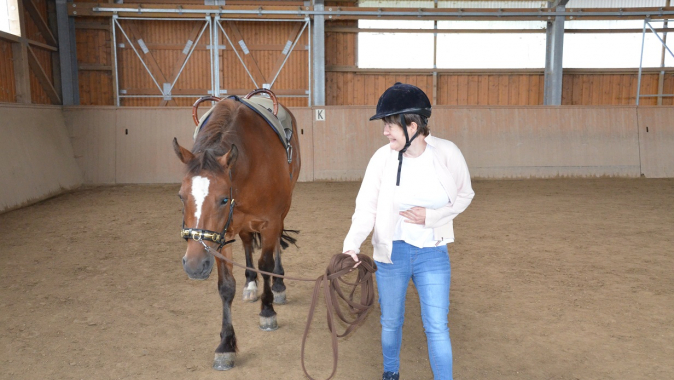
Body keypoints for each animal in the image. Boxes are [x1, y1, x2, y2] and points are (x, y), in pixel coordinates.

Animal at [172, 93, 300, 372]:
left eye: (222, 199)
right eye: (181, 196)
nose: (194, 265)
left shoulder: (270, 222)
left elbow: (266, 263)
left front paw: (267, 311)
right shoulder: (219, 237)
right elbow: (225, 286)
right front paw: (226, 345)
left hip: (283, 209)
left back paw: (278, 285)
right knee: (247, 241)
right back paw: (250, 283)